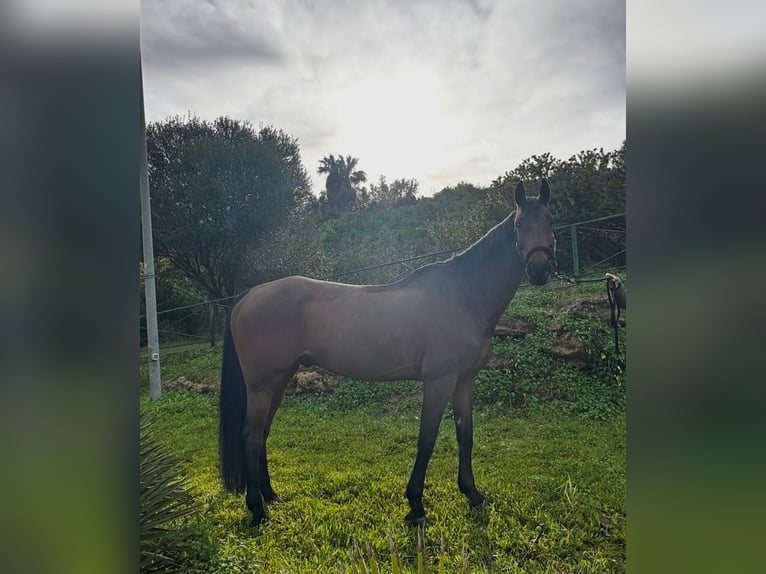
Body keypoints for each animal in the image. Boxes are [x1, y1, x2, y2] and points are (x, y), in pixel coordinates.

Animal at [219, 179, 557, 526]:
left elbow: (466, 435)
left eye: (550, 221)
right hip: (262, 384)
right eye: (518, 225)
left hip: (281, 379)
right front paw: (416, 505)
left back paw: (271, 496)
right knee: (251, 435)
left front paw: (472, 494)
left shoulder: (465, 380)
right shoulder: (439, 381)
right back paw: (257, 509)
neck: (462, 295)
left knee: (262, 433)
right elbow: (427, 438)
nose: (539, 269)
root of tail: (249, 295)